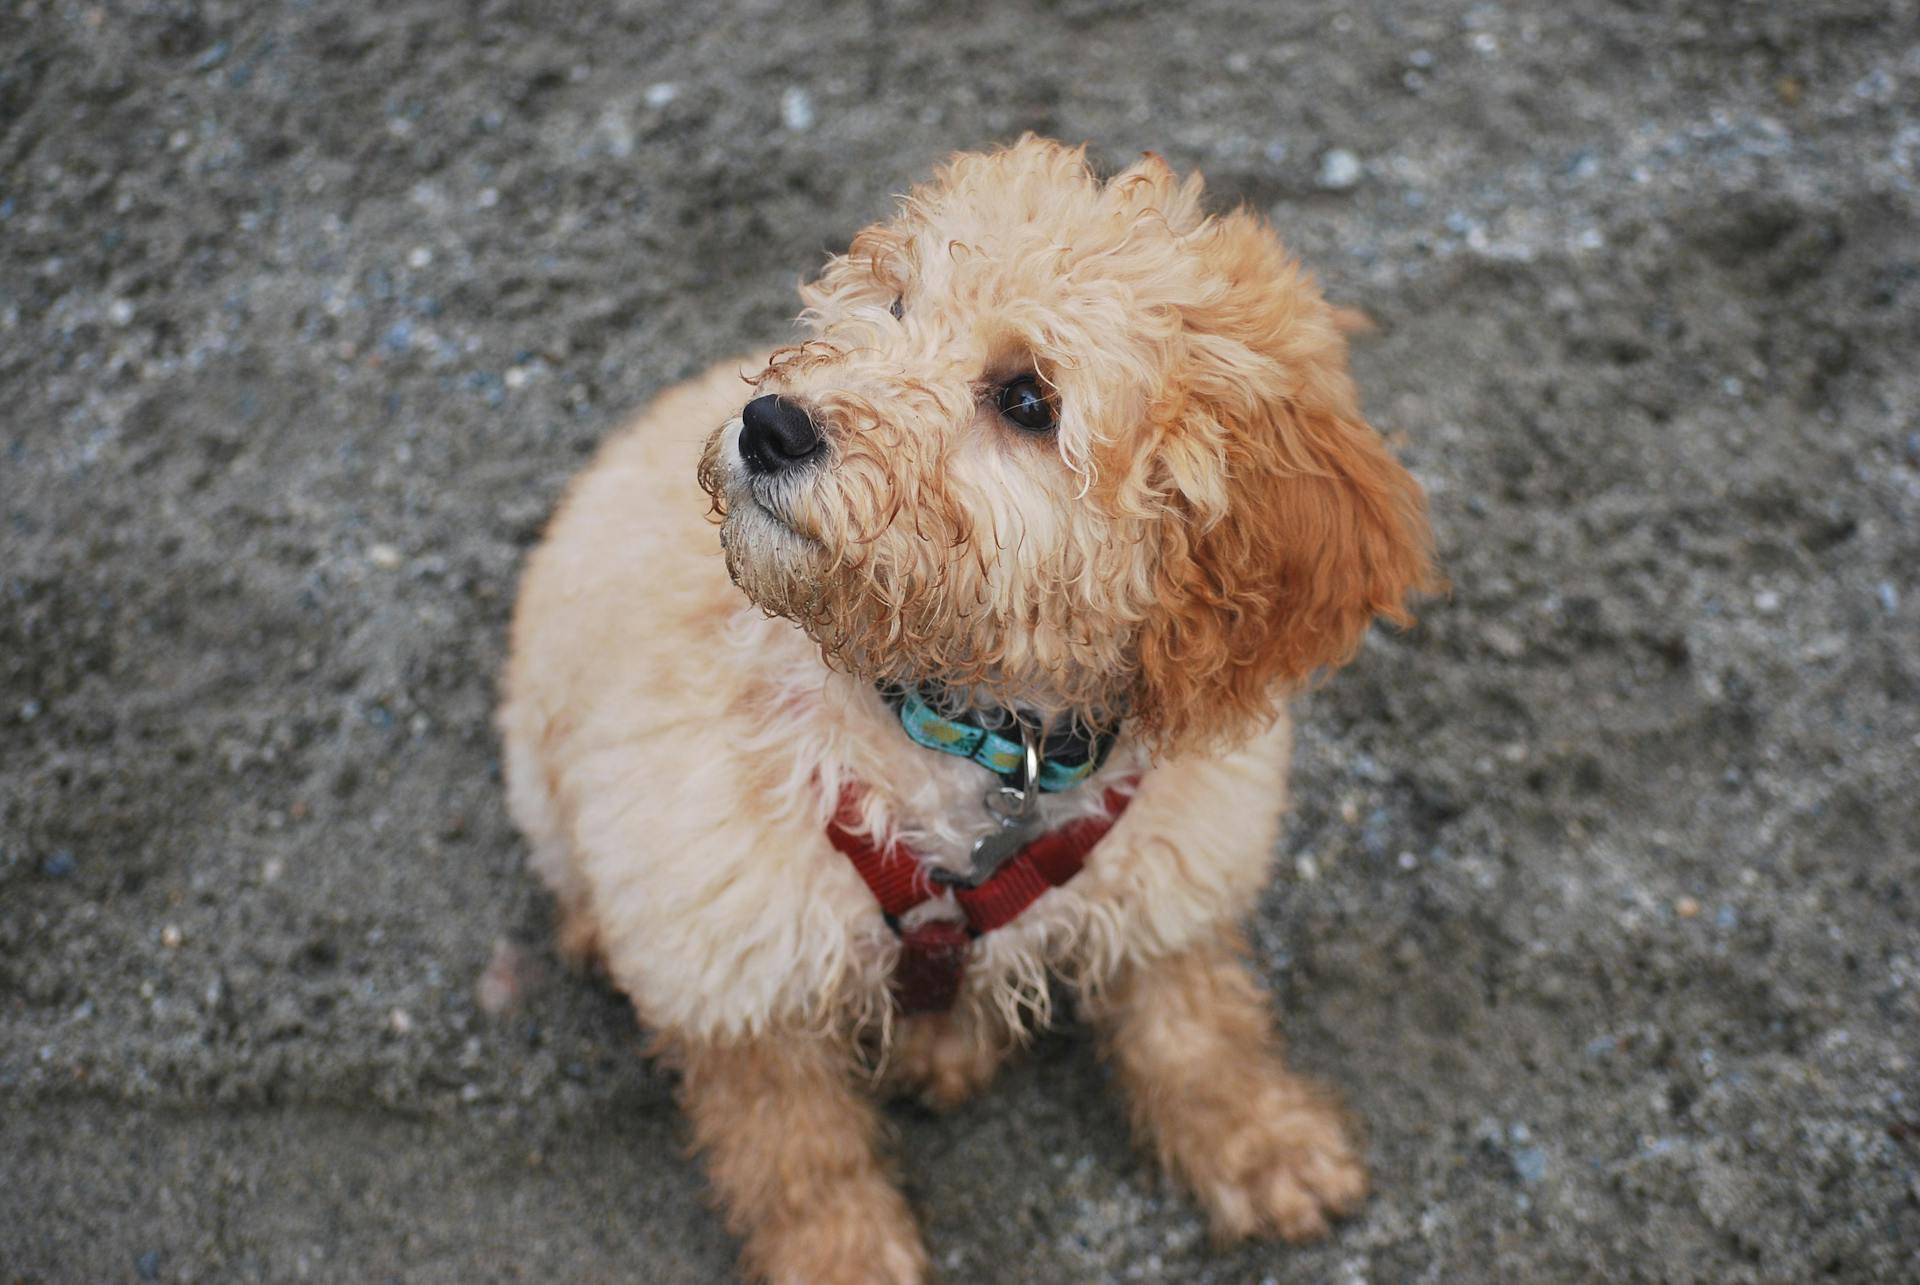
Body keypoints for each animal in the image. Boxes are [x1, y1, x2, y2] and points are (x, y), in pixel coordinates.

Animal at [503, 138, 1436, 1283]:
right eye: (897, 301)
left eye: (1028, 399)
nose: (772, 424)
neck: (974, 740)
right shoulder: (724, 951)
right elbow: (794, 1146)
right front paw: (844, 1257)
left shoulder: (1171, 870)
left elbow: (1195, 1023)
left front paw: (1262, 1144)